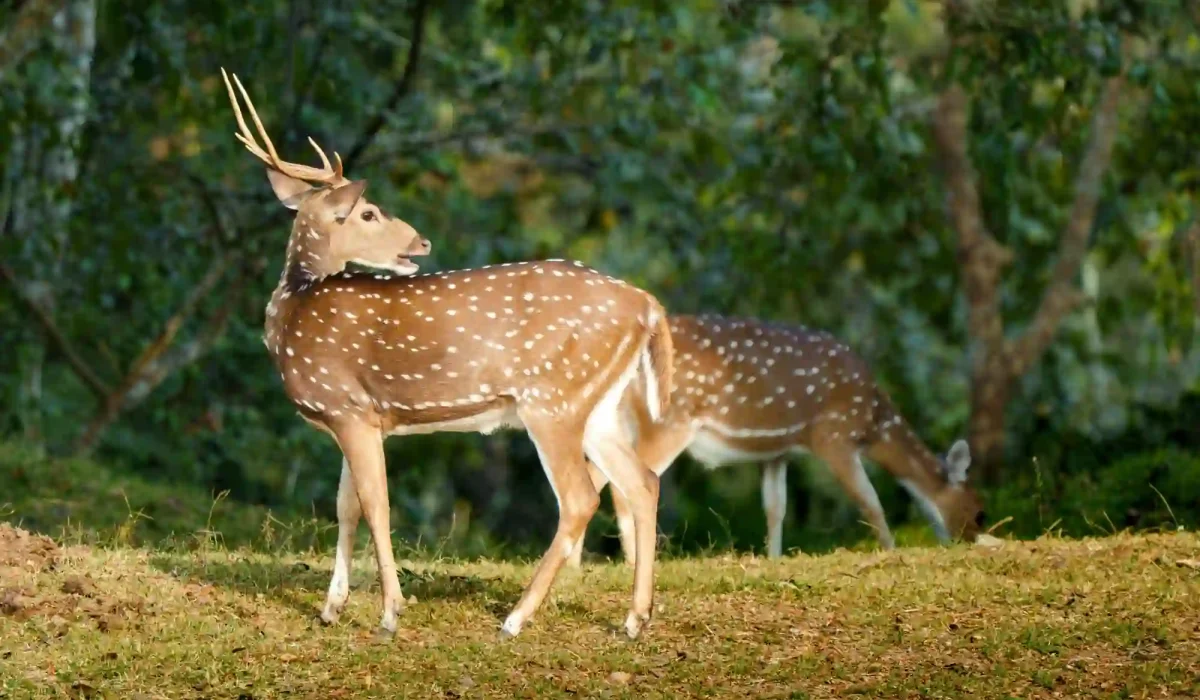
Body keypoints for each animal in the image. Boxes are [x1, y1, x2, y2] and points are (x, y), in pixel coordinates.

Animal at [220, 68, 675, 640]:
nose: (422, 243)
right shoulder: (355, 414)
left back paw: (516, 618)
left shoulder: (349, 410)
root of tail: (648, 304)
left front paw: (390, 613)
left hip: (553, 398)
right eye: (368, 212)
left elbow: (376, 505)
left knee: (580, 498)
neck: (295, 308)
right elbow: (347, 507)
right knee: (642, 481)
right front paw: (331, 607)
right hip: (598, 405)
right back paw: (635, 619)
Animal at [567, 313, 986, 567]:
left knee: (594, 474)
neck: (872, 420)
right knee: (625, 483)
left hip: (621, 421)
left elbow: (775, 507)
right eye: (980, 510)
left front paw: (773, 558)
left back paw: (579, 565)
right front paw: (890, 551)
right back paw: (631, 561)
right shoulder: (833, 435)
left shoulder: (776, 452)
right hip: (670, 421)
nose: (968, 539)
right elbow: (870, 501)